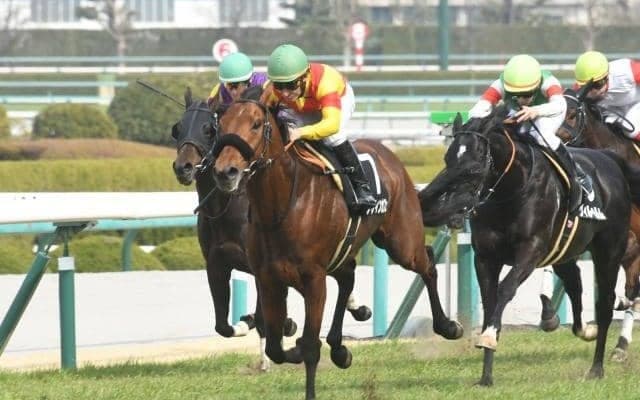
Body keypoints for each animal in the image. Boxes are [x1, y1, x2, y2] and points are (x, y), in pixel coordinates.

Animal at [171, 88, 371, 370]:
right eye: (177, 128)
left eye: (209, 129)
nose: (184, 167)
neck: (227, 204)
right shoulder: (217, 262)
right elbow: (223, 325)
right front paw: (254, 325)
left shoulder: (261, 266)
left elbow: (265, 316)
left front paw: (279, 333)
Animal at [210, 85, 463, 400]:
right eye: (221, 125)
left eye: (256, 124)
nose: (225, 172)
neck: (282, 207)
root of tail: (388, 154)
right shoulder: (269, 279)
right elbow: (275, 347)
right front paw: (300, 347)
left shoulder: (314, 279)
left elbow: (309, 346)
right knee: (348, 277)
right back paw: (340, 349)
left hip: (401, 243)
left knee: (426, 262)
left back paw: (448, 326)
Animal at [418, 107, 640, 386]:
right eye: (447, 159)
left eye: (474, 167)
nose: (432, 204)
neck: (511, 190)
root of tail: (611, 159)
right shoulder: (485, 258)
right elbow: (490, 302)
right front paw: (486, 376)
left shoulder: (530, 251)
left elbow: (505, 289)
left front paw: (488, 337)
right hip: (565, 251)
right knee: (575, 283)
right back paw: (582, 329)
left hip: (608, 251)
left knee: (606, 303)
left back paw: (597, 367)